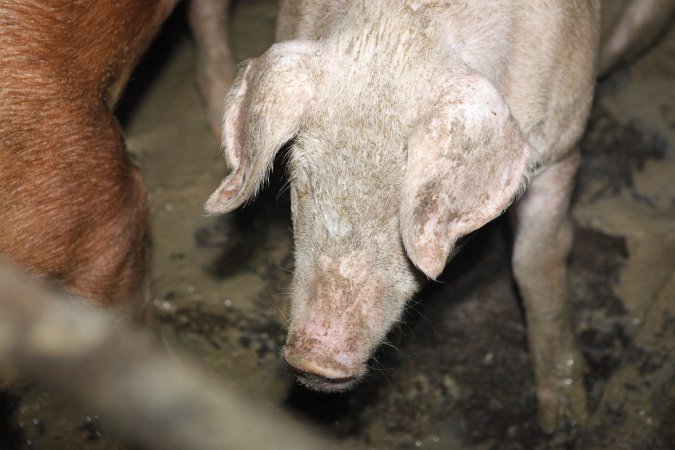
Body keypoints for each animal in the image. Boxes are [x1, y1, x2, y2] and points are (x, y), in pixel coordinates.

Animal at [206, 0, 675, 432]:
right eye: (302, 183)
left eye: (404, 208)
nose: (313, 357)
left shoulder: (560, 149)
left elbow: (537, 264)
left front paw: (564, 421)